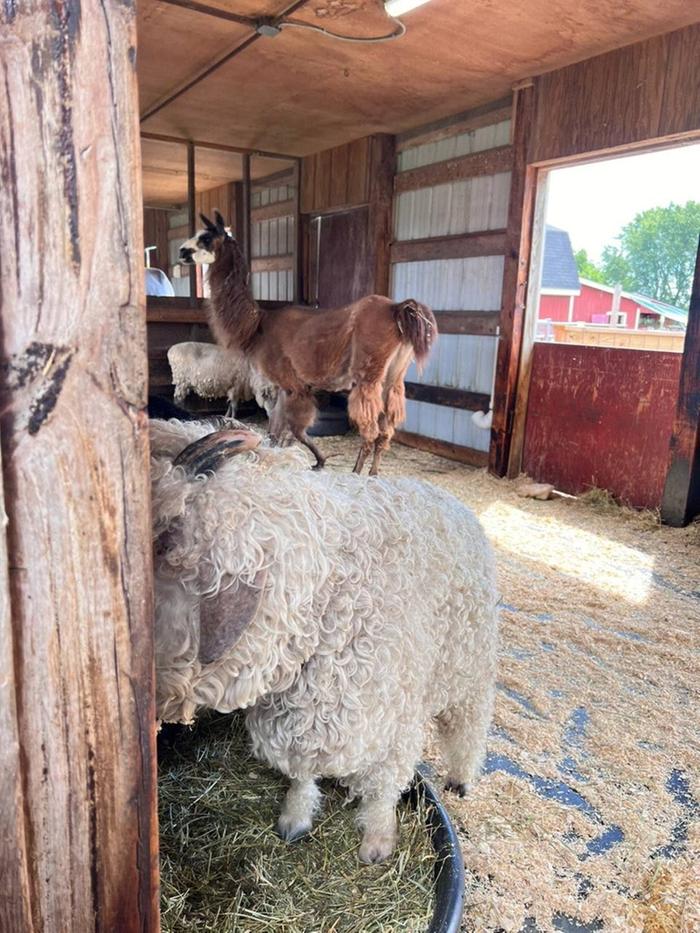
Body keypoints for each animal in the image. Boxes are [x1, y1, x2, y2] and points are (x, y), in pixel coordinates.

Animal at [149, 418, 498, 864]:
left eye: (165, 542)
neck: (326, 602)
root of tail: (450, 498)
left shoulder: (396, 719)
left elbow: (384, 786)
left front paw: (377, 840)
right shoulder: (299, 716)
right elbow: (303, 772)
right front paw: (295, 817)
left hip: (470, 656)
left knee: (470, 719)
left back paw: (462, 776)